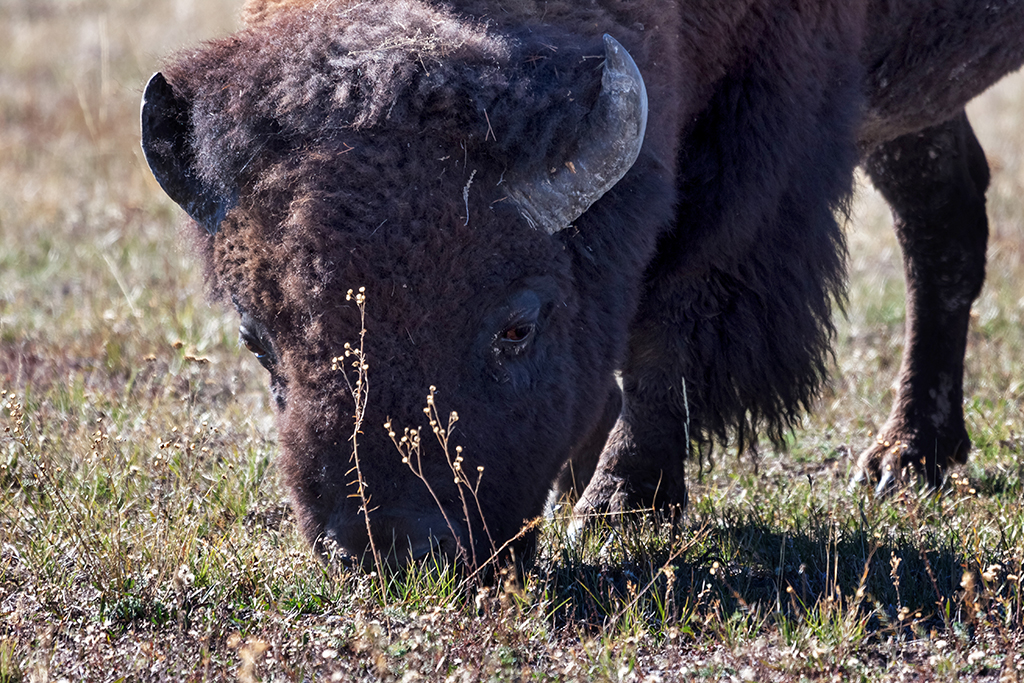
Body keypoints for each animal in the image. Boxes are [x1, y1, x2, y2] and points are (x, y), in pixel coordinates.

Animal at [142, 0, 1024, 565]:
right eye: (258, 340)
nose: (387, 543)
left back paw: (898, 458)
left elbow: (672, 317)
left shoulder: (754, 149)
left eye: (517, 325)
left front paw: (617, 508)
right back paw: (908, 458)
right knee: (940, 221)